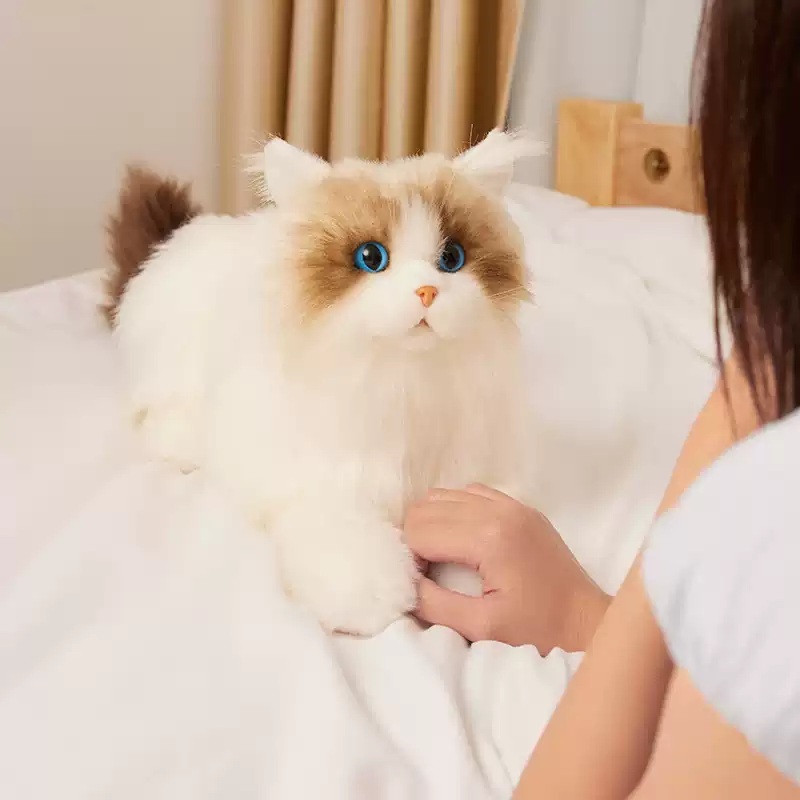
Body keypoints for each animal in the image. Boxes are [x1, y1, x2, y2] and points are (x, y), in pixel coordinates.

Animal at [106, 131, 541, 636]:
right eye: (371, 258)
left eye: (452, 258)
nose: (427, 292)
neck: (402, 381)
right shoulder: (317, 485)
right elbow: (348, 546)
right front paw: (377, 598)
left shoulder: (475, 475)